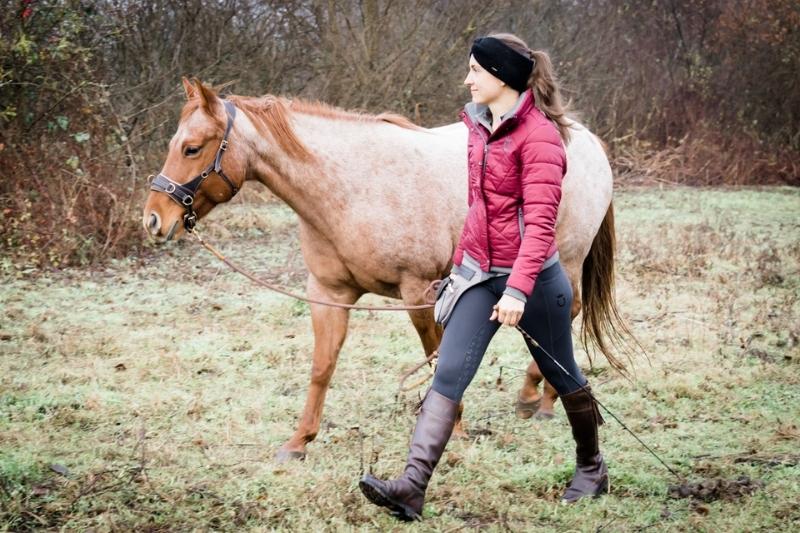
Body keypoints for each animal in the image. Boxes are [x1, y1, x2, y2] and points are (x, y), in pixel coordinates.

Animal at [142, 77, 624, 460]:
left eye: (192, 148)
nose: (153, 219)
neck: (350, 189)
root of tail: (586, 140)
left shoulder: (420, 291)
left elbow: (437, 359)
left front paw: (454, 428)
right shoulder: (328, 295)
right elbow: (322, 368)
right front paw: (299, 442)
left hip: (562, 260)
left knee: (566, 313)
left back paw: (540, 400)